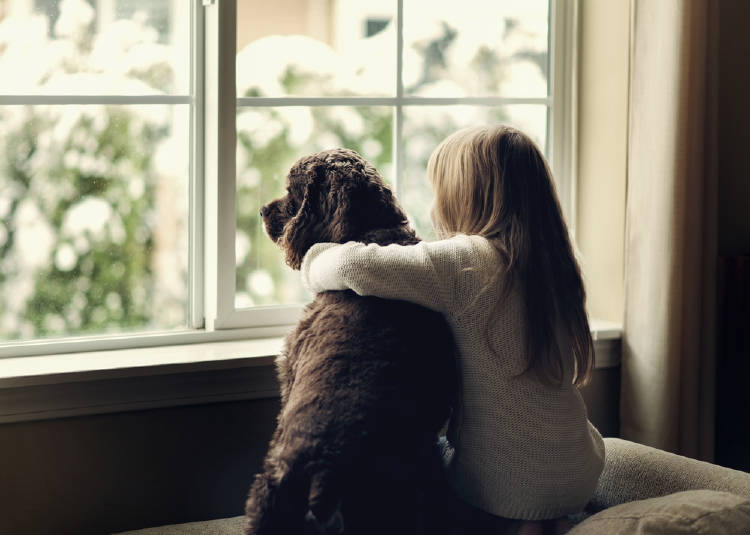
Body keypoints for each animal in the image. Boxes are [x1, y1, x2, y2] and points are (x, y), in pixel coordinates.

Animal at [247, 150, 458, 535]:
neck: (370, 235)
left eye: (291, 191)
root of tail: (326, 473)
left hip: (267, 496)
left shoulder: (289, 370)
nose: (262, 211)